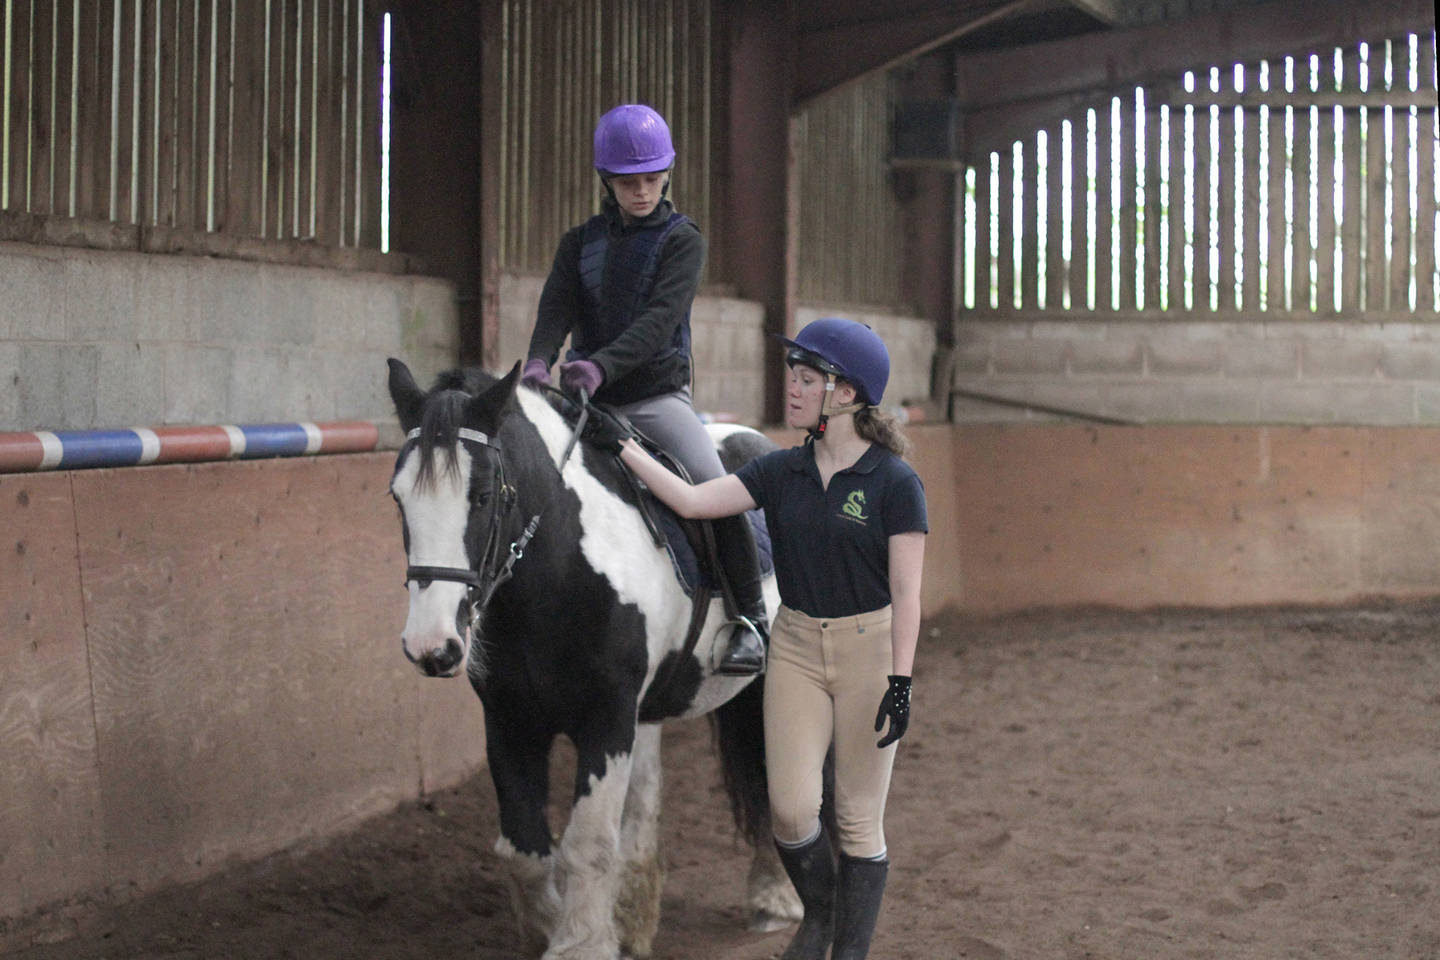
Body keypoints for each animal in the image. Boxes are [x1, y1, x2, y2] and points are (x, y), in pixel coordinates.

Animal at [385, 359, 800, 960]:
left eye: (483, 496)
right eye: (399, 499)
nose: (432, 647)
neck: (560, 569)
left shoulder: (606, 719)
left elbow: (586, 842)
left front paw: (579, 942)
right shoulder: (510, 721)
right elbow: (524, 849)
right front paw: (550, 928)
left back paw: (775, 898)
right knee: (646, 803)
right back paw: (635, 919)